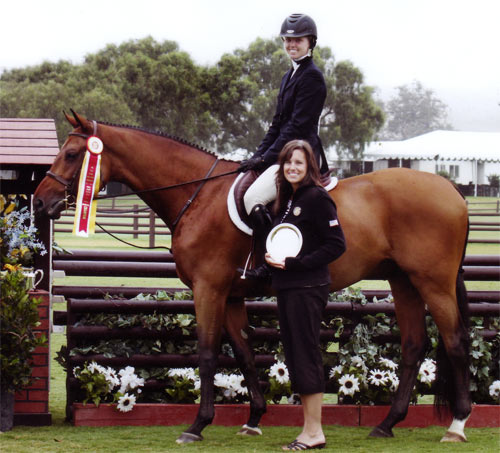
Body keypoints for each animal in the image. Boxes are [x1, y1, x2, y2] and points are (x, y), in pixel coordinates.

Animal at [33, 112, 470, 442]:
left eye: (71, 153)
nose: (40, 202)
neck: (198, 195)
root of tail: (454, 191)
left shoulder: (209, 290)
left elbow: (208, 353)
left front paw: (197, 425)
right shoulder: (231, 295)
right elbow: (243, 353)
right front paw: (254, 418)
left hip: (433, 283)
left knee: (454, 343)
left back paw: (457, 424)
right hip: (404, 282)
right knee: (414, 345)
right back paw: (386, 424)